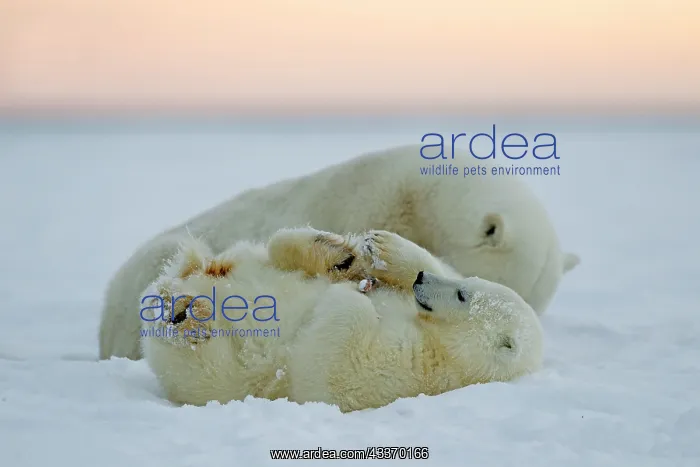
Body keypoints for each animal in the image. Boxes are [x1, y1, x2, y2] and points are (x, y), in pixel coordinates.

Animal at [140, 227, 544, 413]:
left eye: (462, 295)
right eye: (468, 285)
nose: (421, 282)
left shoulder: (407, 370)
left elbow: (329, 366)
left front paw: (353, 297)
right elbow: (430, 264)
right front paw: (383, 250)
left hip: (214, 377)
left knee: (200, 355)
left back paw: (187, 316)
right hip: (244, 263)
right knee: (272, 247)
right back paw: (336, 257)